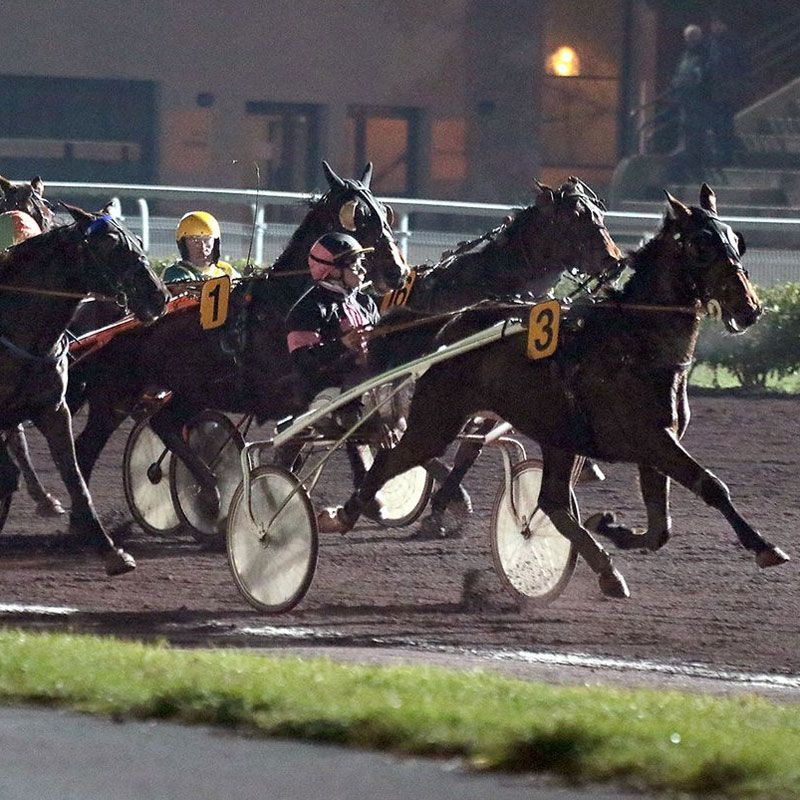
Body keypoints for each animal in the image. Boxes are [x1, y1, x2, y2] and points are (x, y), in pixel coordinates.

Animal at [0, 203, 167, 572]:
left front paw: (111, 551)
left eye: (138, 240)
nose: (158, 295)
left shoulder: (53, 409)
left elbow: (75, 477)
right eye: (109, 244)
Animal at [65, 162, 410, 520]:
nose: (397, 271)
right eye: (358, 217)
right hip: (116, 394)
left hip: (189, 391)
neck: (285, 304)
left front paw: (371, 498)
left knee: (162, 423)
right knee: (89, 447)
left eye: (385, 212)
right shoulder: (289, 396)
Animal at [322, 186, 792, 600]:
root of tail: (449, 324)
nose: (749, 308)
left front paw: (612, 527)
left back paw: (605, 570)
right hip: (437, 421)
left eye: (737, 241)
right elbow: (712, 486)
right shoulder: (651, 439)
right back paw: (347, 512)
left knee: (552, 502)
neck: (635, 340)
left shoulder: (655, 443)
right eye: (700, 246)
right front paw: (764, 547)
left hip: (556, 436)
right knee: (391, 457)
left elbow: (661, 527)